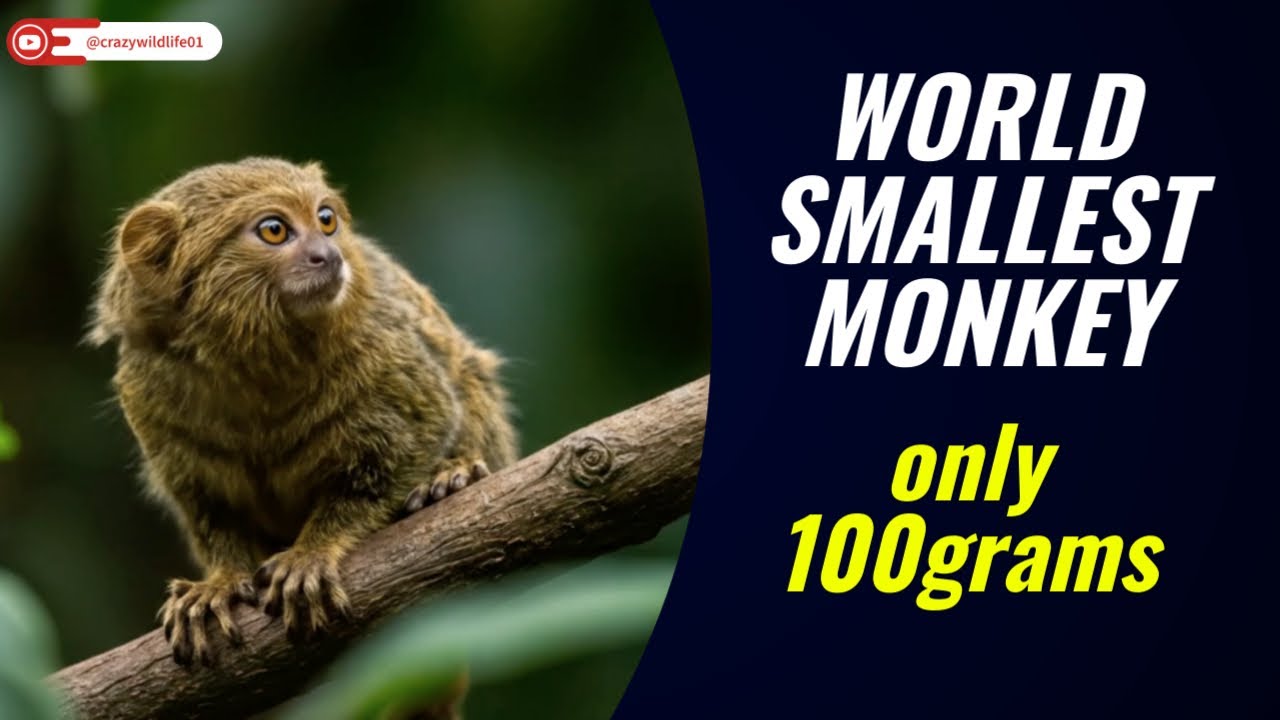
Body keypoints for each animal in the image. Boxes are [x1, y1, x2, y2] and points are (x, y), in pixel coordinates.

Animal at [87, 157, 518, 671]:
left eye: (326, 220)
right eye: (274, 230)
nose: (327, 255)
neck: (252, 363)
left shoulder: (382, 351)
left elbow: (419, 429)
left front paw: (312, 551)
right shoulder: (147, 396)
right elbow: (209, 506)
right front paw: (220, 581)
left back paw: (454, 477)